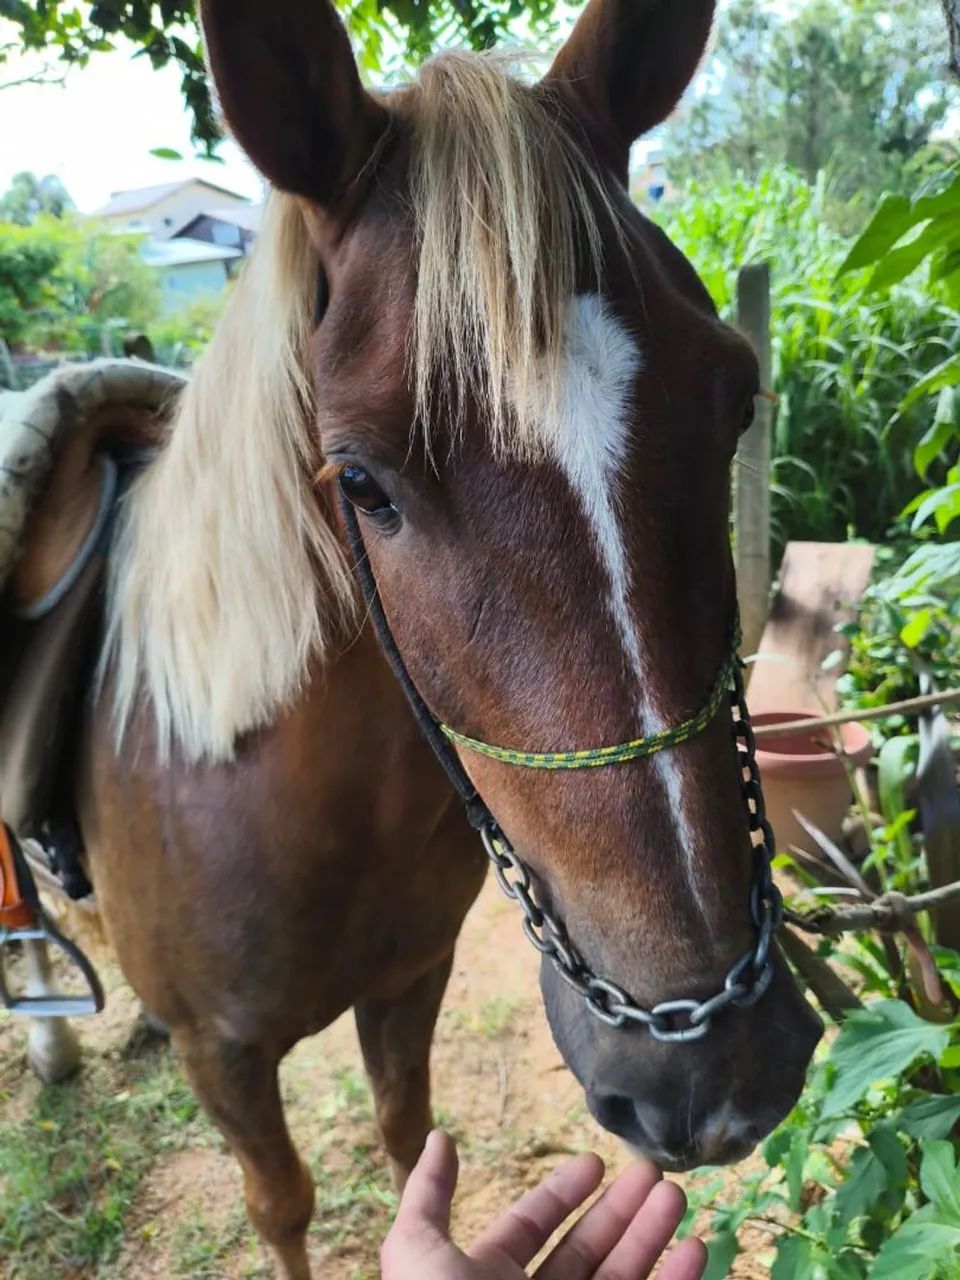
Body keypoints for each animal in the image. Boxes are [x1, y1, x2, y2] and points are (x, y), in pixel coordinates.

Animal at [10, 1, 822, 1275]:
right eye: (359, 481)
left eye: (736, 399)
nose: (716, 1067)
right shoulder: (225, 1062)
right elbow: (282, 1206)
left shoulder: (410, 977)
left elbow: (407, 1137)